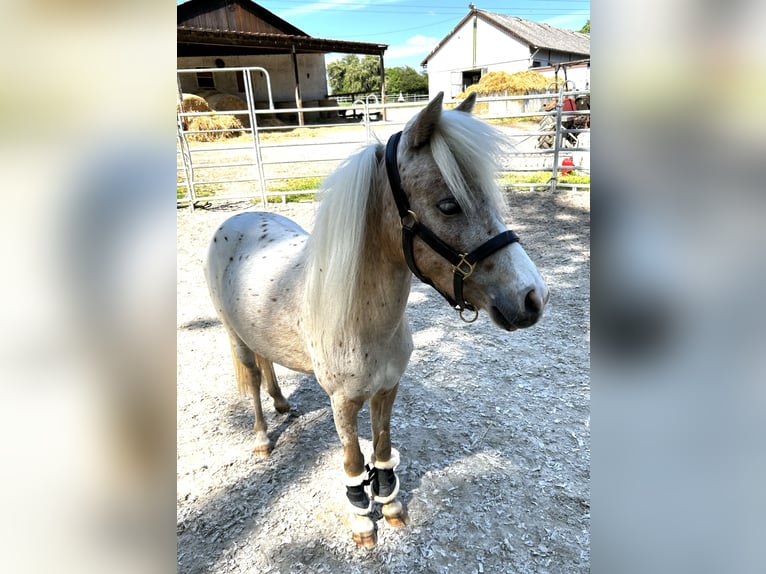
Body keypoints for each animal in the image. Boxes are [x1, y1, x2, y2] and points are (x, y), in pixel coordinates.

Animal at [206, 92, 552, 552]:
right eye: (448, 204)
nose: (533, 297)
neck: (362, 321)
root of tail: (235, 220)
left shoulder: (387, 389)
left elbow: (384, 450)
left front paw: (390, 506)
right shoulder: (342, 403)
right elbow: (354, 461)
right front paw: (362, 520)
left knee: (269, 367)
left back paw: (283, 404)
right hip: (235, 338)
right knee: (254, 378)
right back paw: (263, 438)